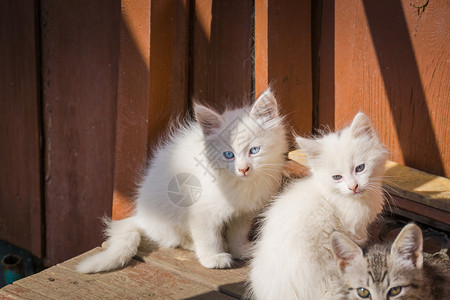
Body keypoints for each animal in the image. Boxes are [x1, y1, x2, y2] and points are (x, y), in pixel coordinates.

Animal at [76, 88, 288, 274]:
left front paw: (240, 249)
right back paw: (197, 245)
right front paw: (213, 258)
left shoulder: (243, 214)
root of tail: (142, 217)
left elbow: (238, 233)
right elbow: (207, 237)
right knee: (176, 238)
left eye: (254, 150)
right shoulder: (202, 213)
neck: (241, 185)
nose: (243, 169)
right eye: (229, 155)